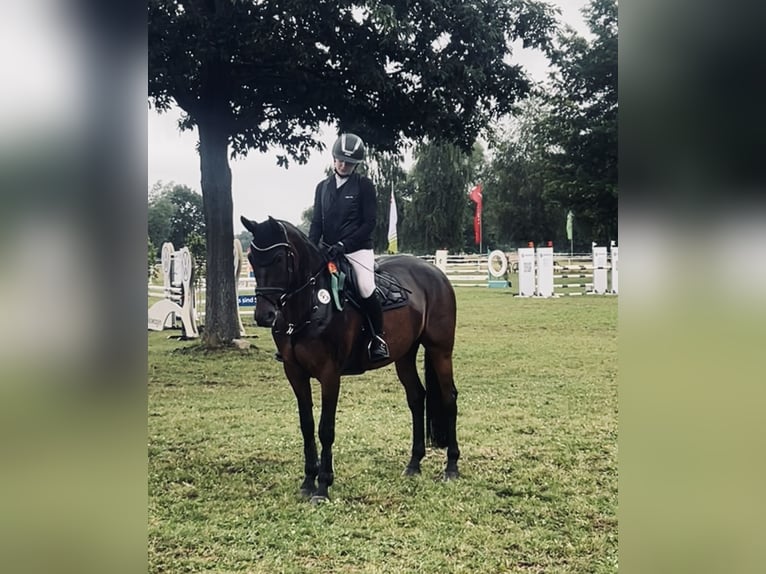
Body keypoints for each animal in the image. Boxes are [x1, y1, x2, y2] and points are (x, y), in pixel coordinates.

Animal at [241, 216, 460, 503]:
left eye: (278, 258)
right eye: (251, 258)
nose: (264, 316)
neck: (310, 306)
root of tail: (436, 273)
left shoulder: (329, 374)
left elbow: (326, 428)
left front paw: (323, 486)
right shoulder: (295, 373)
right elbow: (307, 425)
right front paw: (308, 482)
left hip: (440, 350)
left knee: (449, 397)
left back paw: (452, 467)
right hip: (404, 355)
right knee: (416, 397)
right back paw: (413, 464)